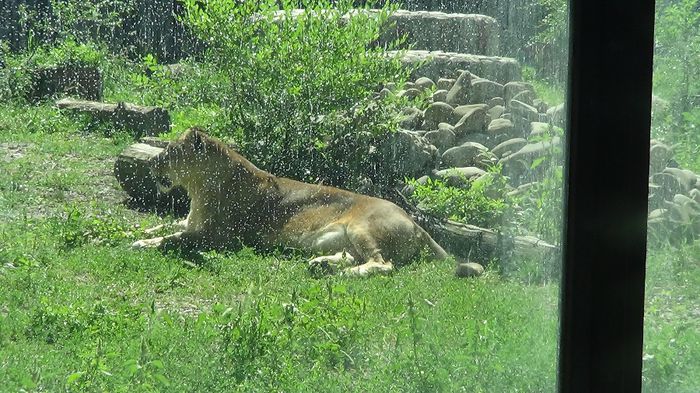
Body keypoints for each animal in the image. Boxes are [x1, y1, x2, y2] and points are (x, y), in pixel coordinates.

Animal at [131, 127, 484, 278]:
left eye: (170, 152)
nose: (149, 164)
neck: (198, 188)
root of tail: (416, 223)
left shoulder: (220, 237)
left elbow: (175, 238)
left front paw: (143, 244)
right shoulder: (192, 222)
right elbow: (168, 225)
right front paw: (138, 233)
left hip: (362, 226)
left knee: (383, 265)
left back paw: (343, 274)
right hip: (340, 239)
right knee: (352, 256)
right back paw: (321, 265)